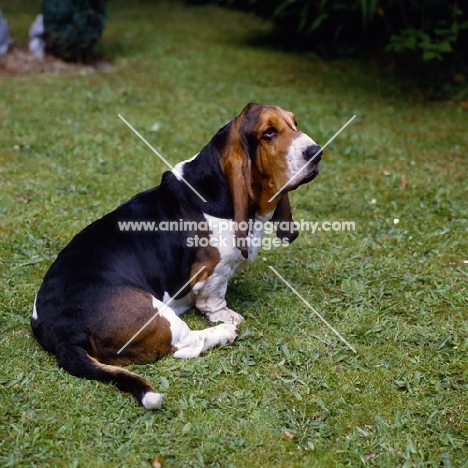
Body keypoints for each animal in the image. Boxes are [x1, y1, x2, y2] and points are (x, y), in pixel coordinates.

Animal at [30, 103, 322, 410]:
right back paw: (224, 334)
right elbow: (214, 299)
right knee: (187, 345)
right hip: (157, 313)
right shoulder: (213, 272)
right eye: (268, 132)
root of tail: (62, 333)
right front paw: (226, 317)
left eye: (294, 123)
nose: (316, 151)